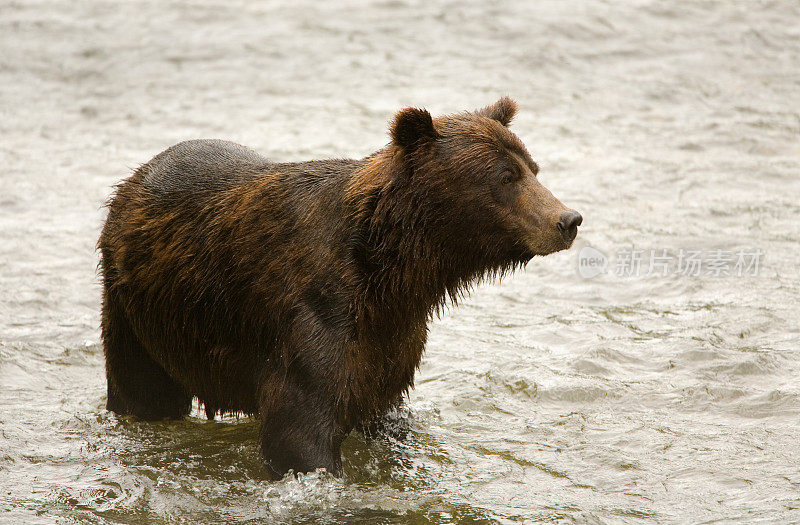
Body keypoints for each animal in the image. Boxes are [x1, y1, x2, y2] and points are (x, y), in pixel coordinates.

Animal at [98, 96, 580, 476]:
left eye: (533, 168)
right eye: (505, 177)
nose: (567, 219)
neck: (392, 274)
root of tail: (135, 177)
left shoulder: (389, 338)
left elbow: (383, 406)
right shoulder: (315, 317)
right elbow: (299, 432)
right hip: (137, 312)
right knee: (142, 387)